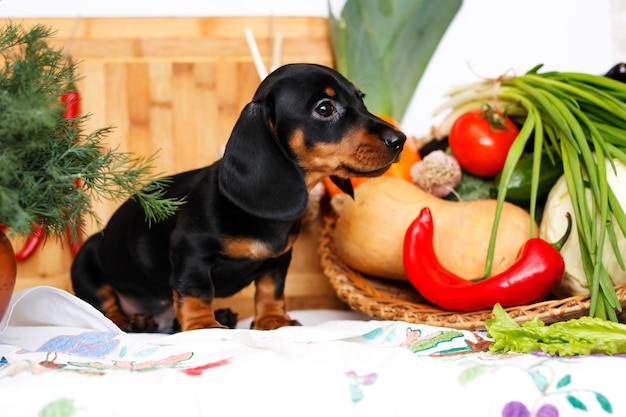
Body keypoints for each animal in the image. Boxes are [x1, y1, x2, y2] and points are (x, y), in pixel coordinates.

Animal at [69, 63, 404, 334]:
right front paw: (203, 325)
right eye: (324, 109)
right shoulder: (190, 251)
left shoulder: (278, 259)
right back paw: (133, 321)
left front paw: (273, 320)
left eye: (361, 98)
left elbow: (271, 290)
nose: (399, 140)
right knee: (102, 305)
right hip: (87, 256)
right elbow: (196, 290)